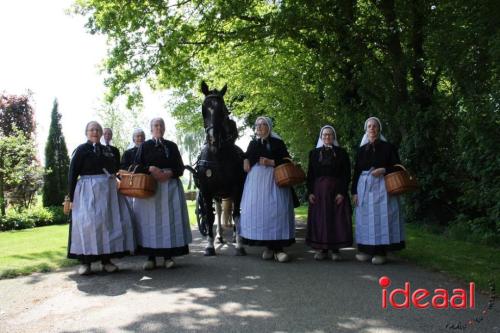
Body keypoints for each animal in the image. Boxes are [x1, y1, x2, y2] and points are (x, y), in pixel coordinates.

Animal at [186, 81, 246, 255]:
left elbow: (236, 214)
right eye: (203, 109)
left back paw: (234, 236)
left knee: (232, 211)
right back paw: (219, 236)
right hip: (217, 194)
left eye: (223, 109)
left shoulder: (237, 188)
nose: (213, 139)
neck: (217, 155)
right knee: (218, 211)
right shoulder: (206, 191)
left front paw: (240, 245)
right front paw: (209, 245)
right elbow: (208, 216)